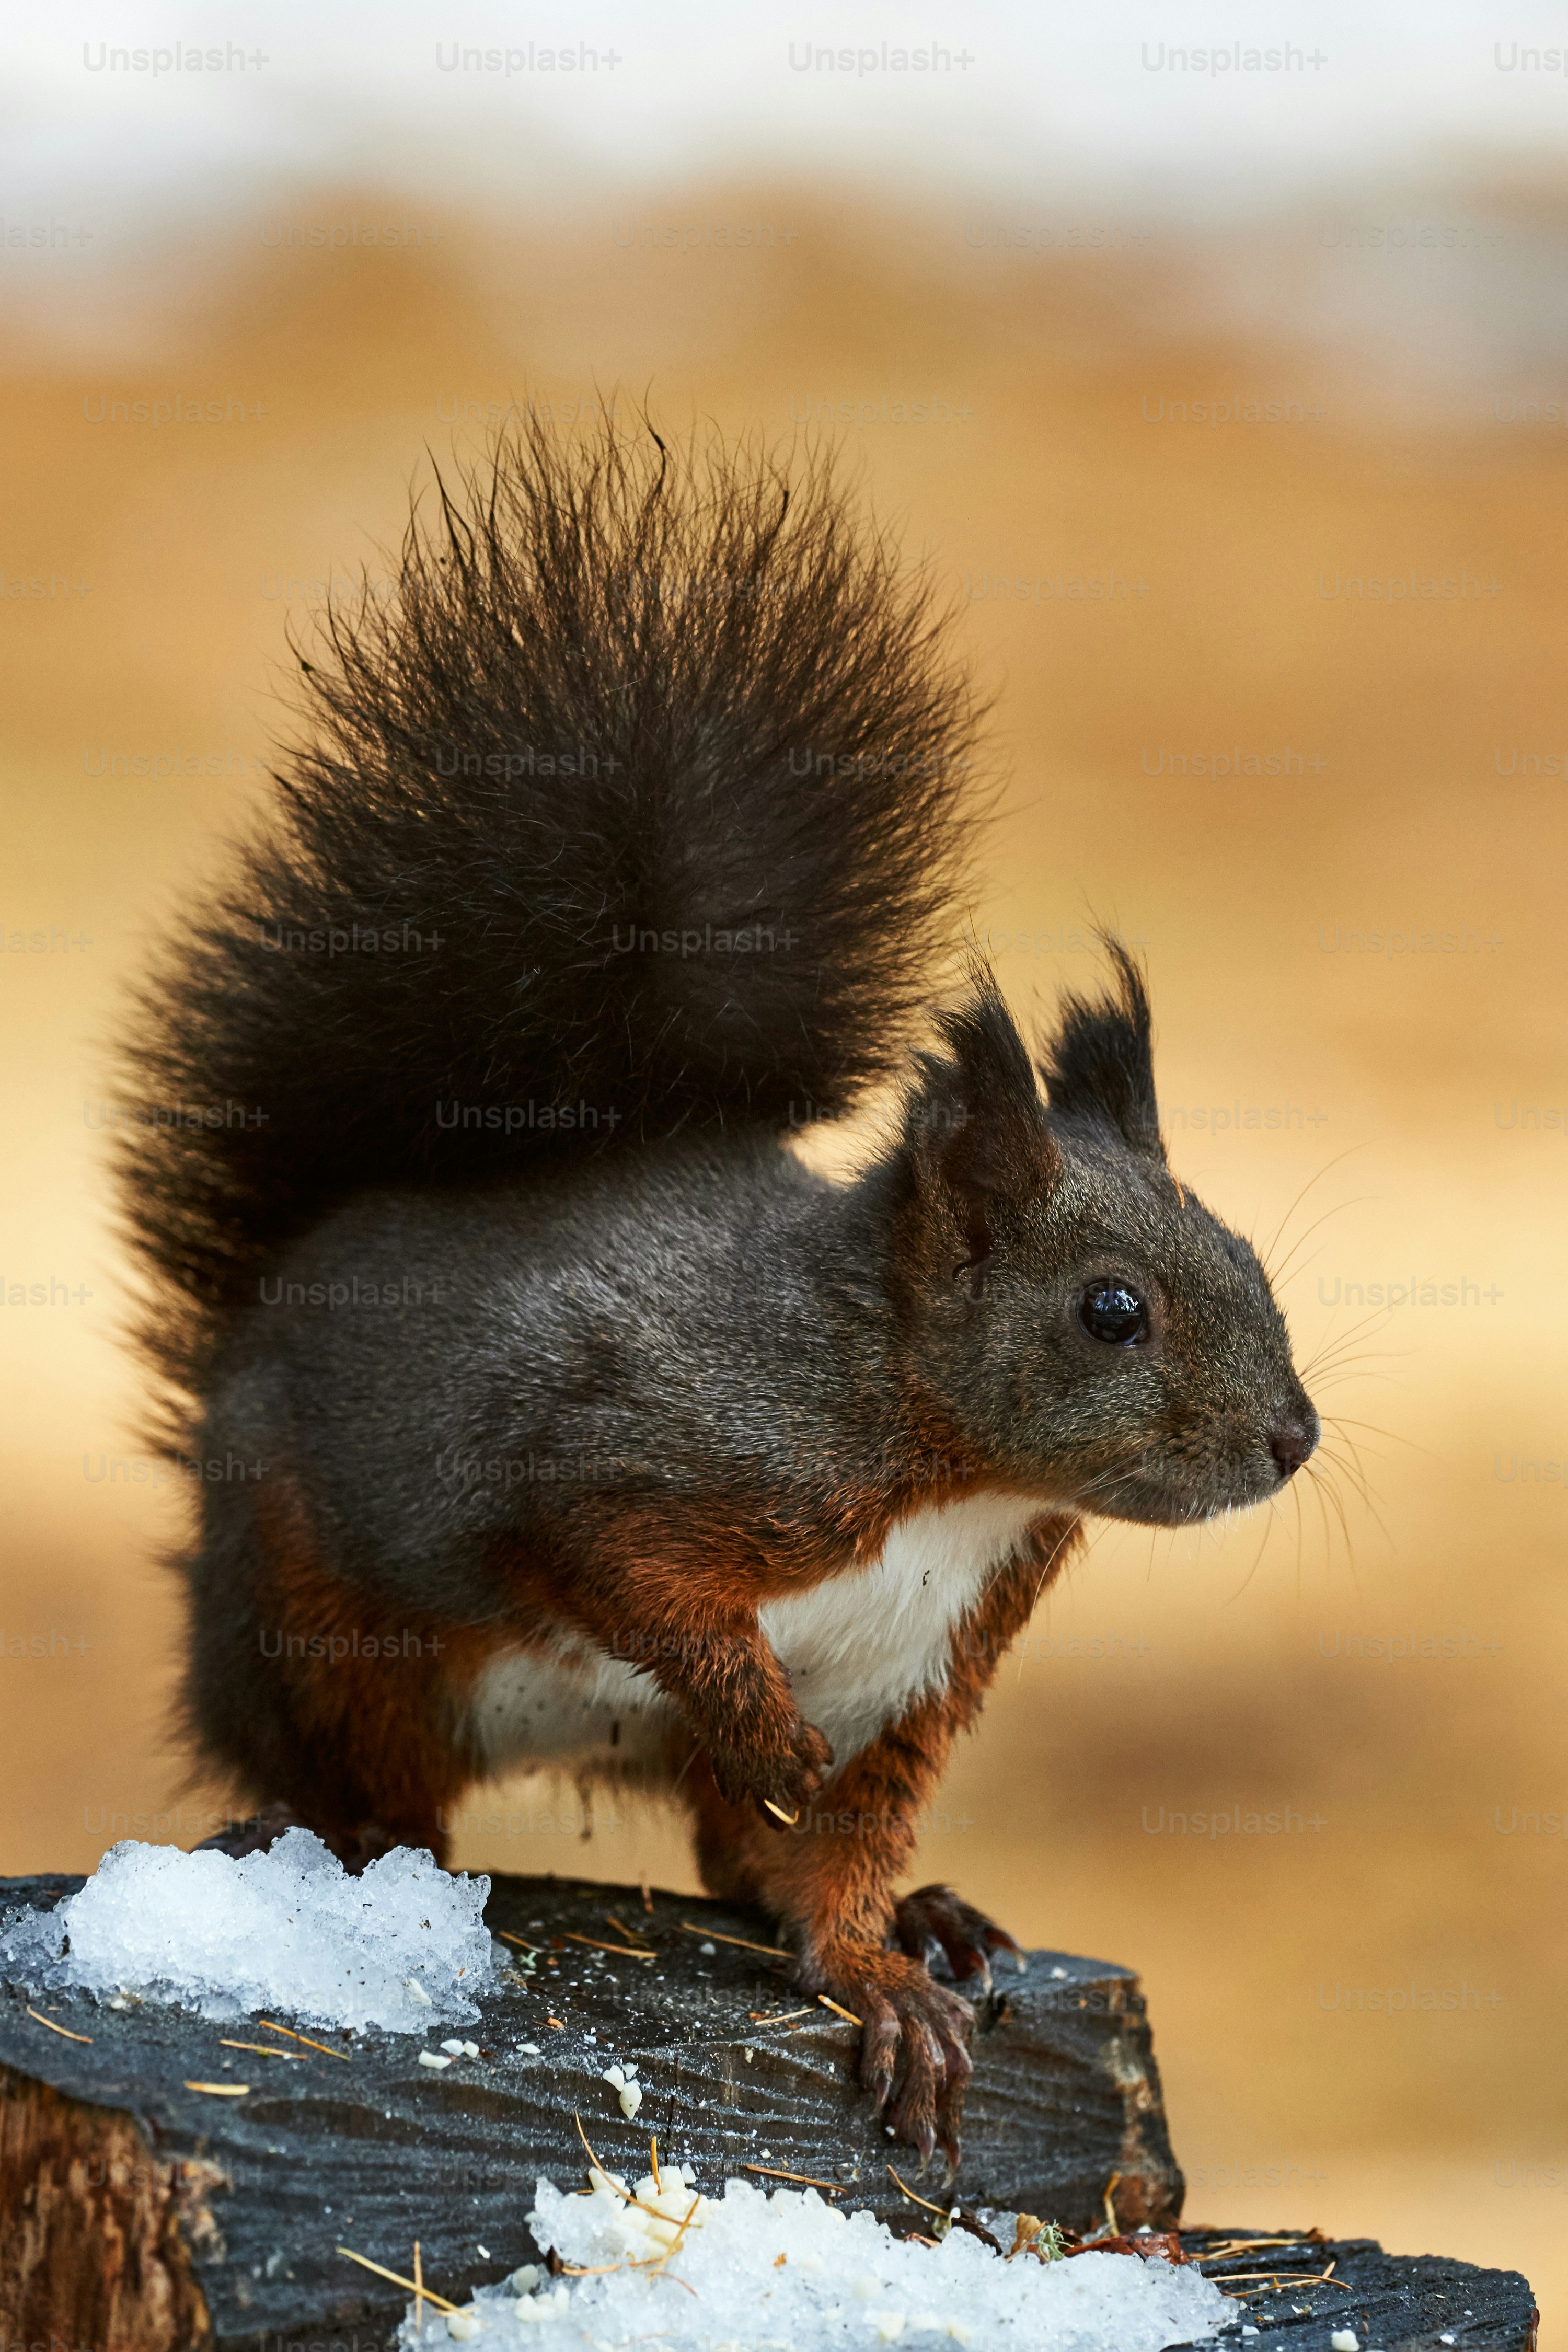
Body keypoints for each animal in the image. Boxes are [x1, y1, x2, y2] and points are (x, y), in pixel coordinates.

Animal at [117, 420, 1318, 2167]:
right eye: (1112, 1309)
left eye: (1249, 1262)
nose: (1293, 1440)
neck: (939, 1454)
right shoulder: (652, 1445)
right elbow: (619, 1566)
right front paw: (764, 1727)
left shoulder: (925, 1669)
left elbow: (831, 1850)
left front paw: (879, 1971)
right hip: (319, 1618)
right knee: (349, 1777)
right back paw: (347, 1846)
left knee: (729, 1856)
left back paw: (935, 1916)